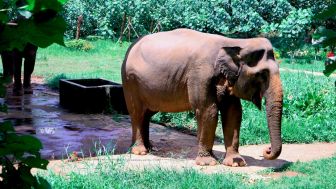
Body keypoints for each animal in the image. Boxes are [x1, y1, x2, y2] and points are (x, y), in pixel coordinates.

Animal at [121, 28, 284, 166]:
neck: (234, 42)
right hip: (130, 81)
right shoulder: (199, 74)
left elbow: (233, 112)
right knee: (137, 112)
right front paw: (208, 163)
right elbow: (208, 110)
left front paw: (236, 163)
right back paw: (140, 151)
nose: (267, 150)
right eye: (262, 75)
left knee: (147, 113)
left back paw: (150, 147)